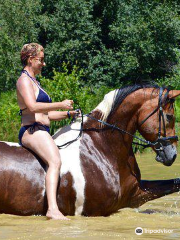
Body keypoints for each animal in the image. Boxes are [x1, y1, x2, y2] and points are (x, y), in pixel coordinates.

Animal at [0, 83, 180, 217]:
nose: (172, 155)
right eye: (170, 117)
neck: (102, 146)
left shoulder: (134, 193)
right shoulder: (97, 211)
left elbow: (172, 184)